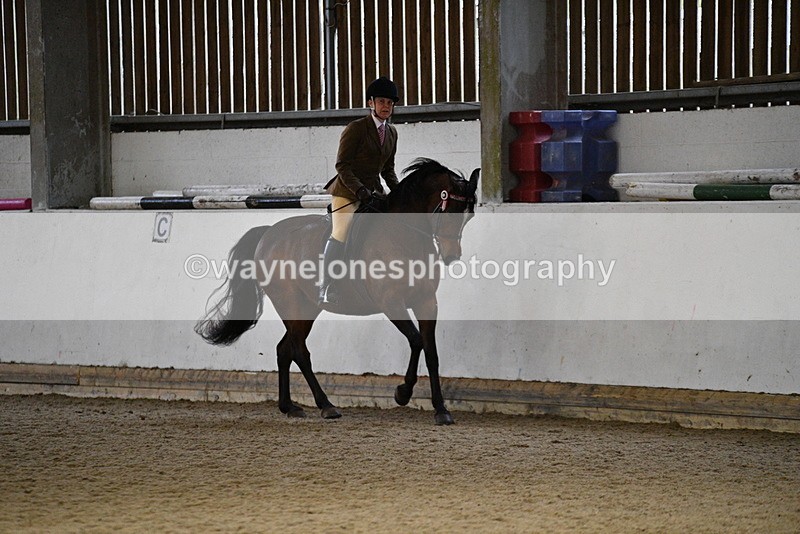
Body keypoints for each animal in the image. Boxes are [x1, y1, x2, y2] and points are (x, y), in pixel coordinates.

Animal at [195, 158, 480, 425]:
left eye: (469, 216)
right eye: (451, 211)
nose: (452, 256)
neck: (404, 236)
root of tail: (268, 235)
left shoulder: (427, 302)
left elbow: (431, 353)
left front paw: (441, 410)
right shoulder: (392, 303)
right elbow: (417, 341)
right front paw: (402, 393)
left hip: (307, 308)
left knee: (284, 349)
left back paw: (290, 407)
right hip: (290, 303)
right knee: (300, 351)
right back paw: (326, 406)